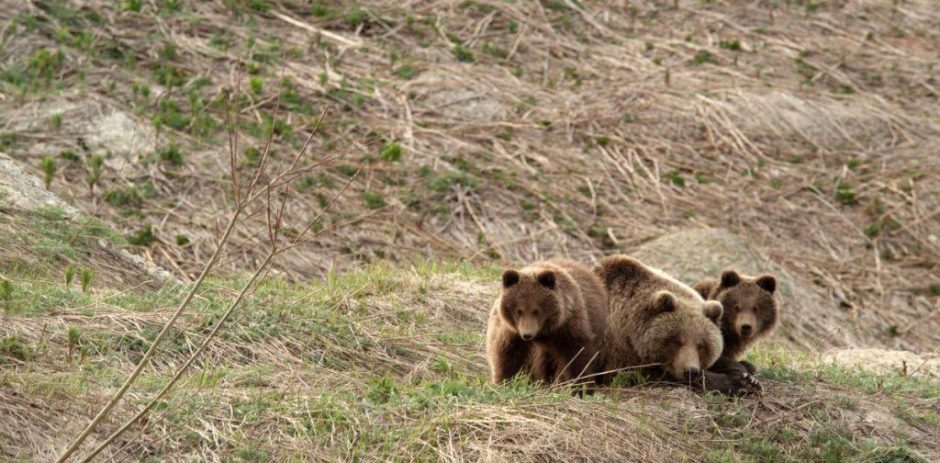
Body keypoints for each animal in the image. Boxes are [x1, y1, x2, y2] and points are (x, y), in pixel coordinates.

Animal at [600, 256, 760, 396]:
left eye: (701, 345)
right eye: (677, 341)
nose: (690, 371)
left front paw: (747, 373)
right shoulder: (618, 351)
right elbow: (644, 374)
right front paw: (738, 383)